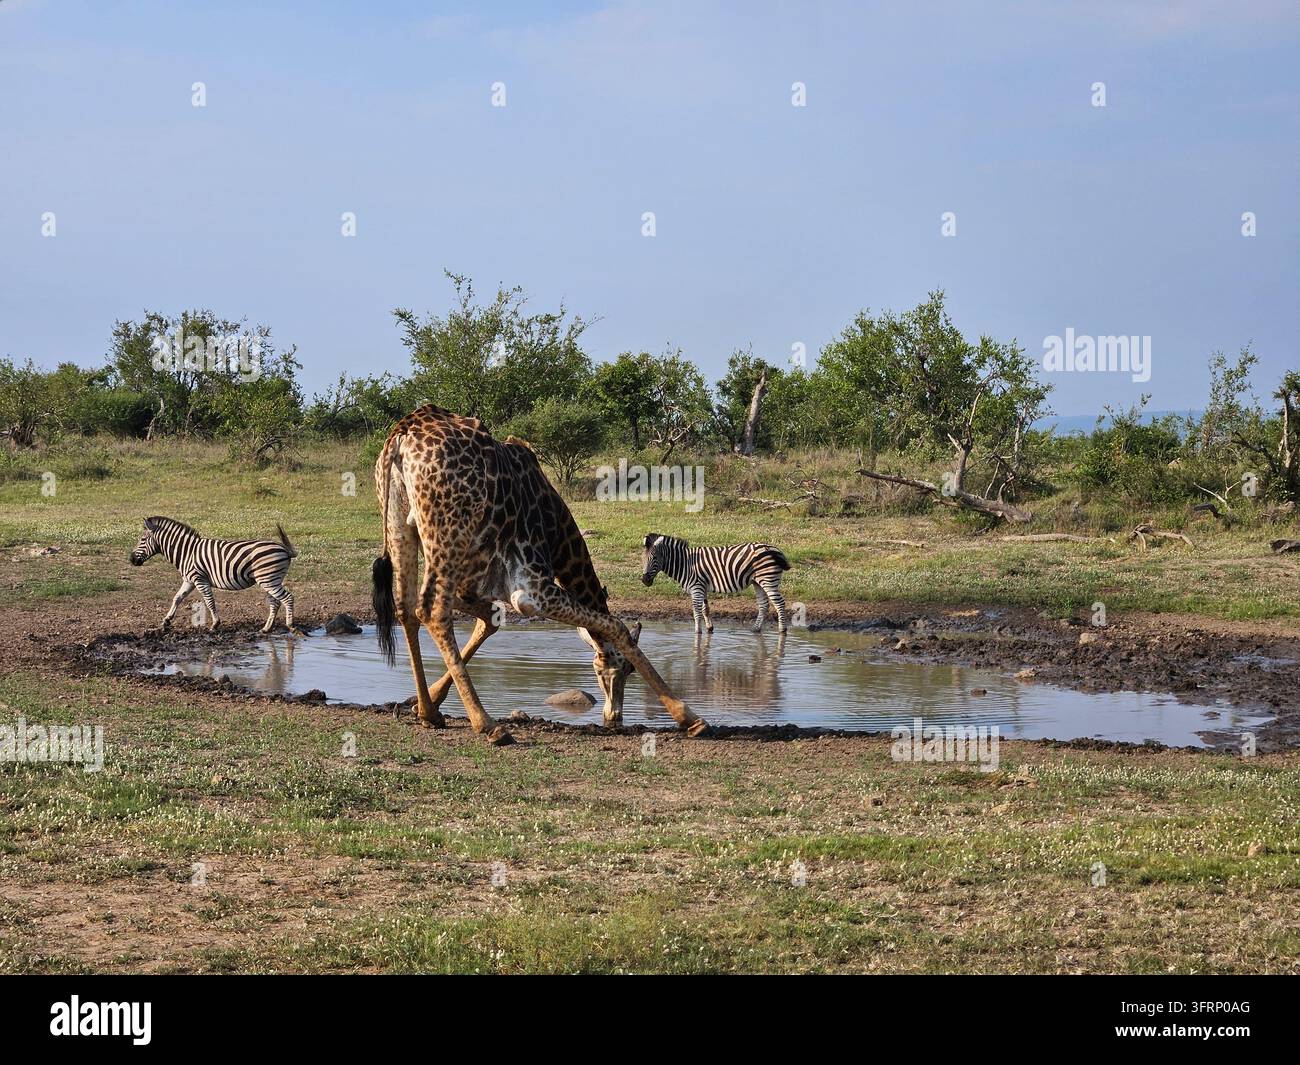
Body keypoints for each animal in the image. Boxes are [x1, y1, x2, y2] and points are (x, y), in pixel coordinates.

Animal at [129, 516, 298, 632]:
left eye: (142, 539)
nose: (131, 560)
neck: (187, 552)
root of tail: (284, 549)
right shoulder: (189, 580)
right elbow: (177, 598)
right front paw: (166, 621)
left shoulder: (199, 579)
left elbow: (209, 601)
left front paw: (215, 624)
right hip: (271, 579)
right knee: (275, 602)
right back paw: (266, 628)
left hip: (268, 579)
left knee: (287, 598)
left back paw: (290, 626)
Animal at [371, 405, 710, 742]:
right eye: (625, 669)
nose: (614, 716)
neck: (557, 533)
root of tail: (402, 433)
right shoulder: (532, 591)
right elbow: (616, 626)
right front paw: (690, 718)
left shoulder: (477, 583)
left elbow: (490, 619)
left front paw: (426, 700)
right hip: (449, 531)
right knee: (431, 609)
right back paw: (487, 723)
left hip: (401, 524)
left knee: (407, 608)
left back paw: (430, 713)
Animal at [641, 532, 791, 634]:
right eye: (643, 558)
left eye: (655, 558)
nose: (644, 580)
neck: (685, 563)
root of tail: (773, 549)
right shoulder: (702, 587)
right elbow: (705, 609)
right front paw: (709, 628)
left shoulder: (696, 587)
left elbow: (696, 612)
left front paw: (697, 632)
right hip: (758, 582)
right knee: (764, 605)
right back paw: (755, 629)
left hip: (768, 579)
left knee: (779, 603)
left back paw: (782, 630)